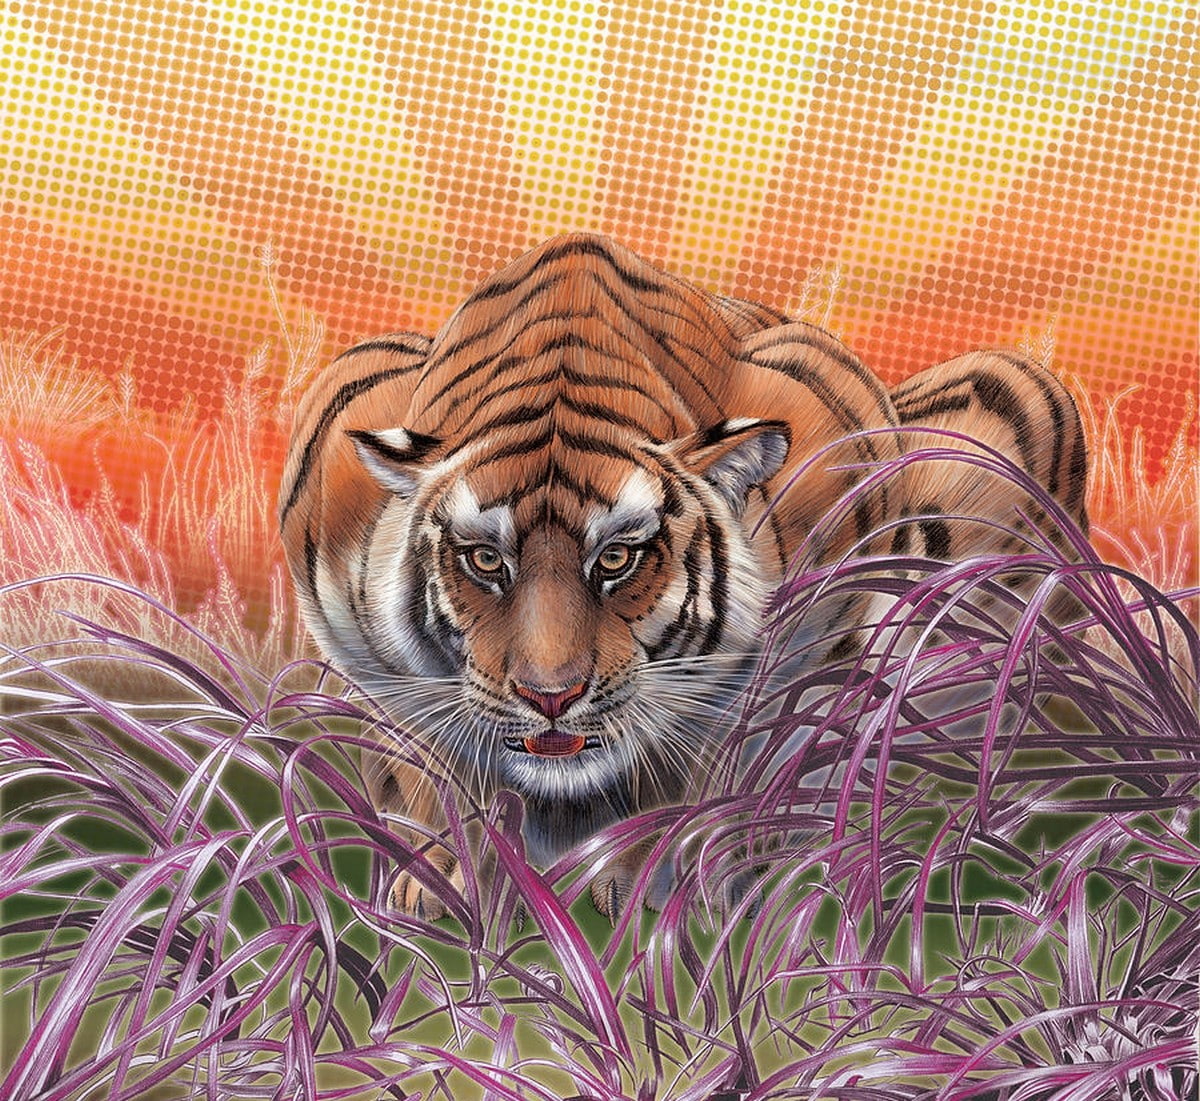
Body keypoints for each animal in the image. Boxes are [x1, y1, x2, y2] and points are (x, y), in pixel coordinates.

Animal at [279, 232, 1088, 921]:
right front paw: (440, 884)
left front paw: (683, 883)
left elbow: (745, 751)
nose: (550, 698)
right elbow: (424, 758)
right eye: (485, 559)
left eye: (617, 557)